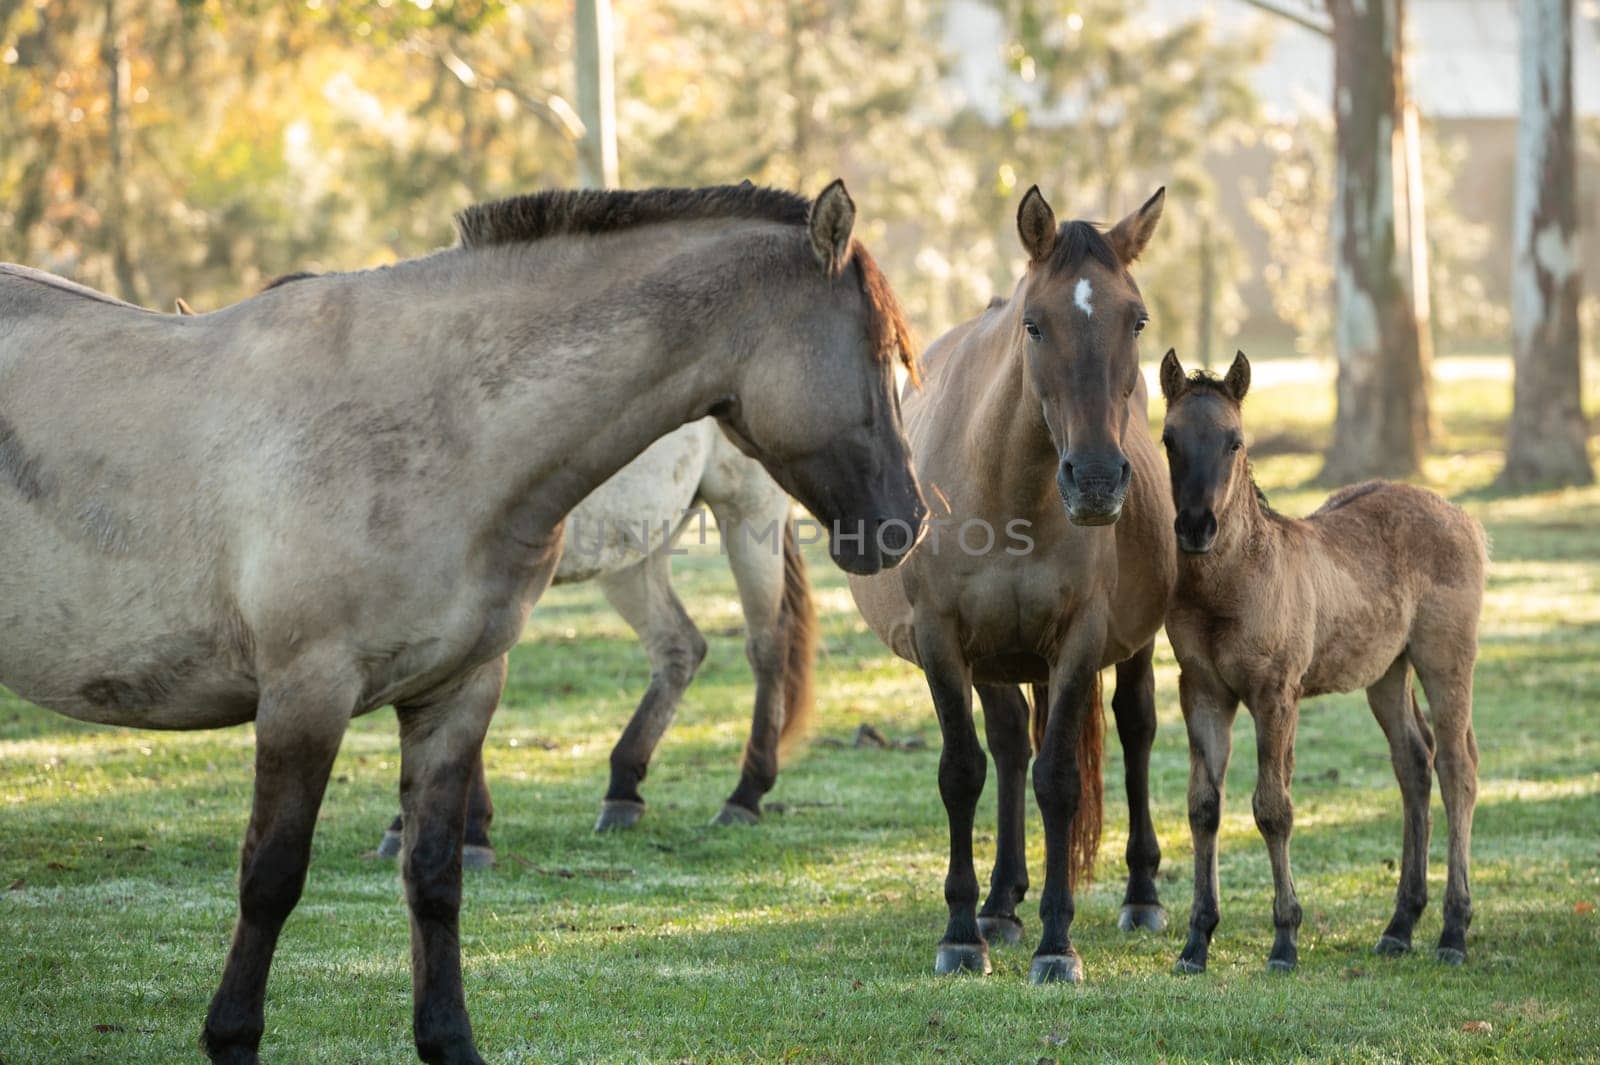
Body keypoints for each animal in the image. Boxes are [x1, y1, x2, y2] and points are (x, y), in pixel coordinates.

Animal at [0, 182, 928, 1061]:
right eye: (878, 354)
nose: (907, 523)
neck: (427, 420)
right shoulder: (306, 694)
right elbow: (273, 876)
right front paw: (232, 1036)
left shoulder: (458, 692)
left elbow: (436, 875)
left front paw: (448, 1037)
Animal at [851, 184, 1177, 978]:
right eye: (1035, 323)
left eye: (1137, 319)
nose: (1097, 480)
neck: (1009, 491)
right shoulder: (943, 641)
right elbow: (963, 771)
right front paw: (962, 931)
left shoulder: (1079, 639)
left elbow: (1058, 780)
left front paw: (1057, 944)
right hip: (994, 658)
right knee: (1004, 747)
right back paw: (999, 904)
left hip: (1127, 648)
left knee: (1136, 729)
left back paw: (1141, 895)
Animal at [1158, 348, 1478, 972]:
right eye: (1168, 438)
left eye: (1234, 441)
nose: (1196, 526)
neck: (1229, 587)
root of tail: (1461, 516)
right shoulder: (1202, 692)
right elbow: (1203, 806)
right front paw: (1196, 941)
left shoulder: (1275, 695)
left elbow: (1272, 808)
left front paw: (1284, 941)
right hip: (1388, 673)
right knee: (1414, 763)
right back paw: (1399, 926)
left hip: (1446, 660)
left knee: (1457, 769)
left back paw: (1454, 931)